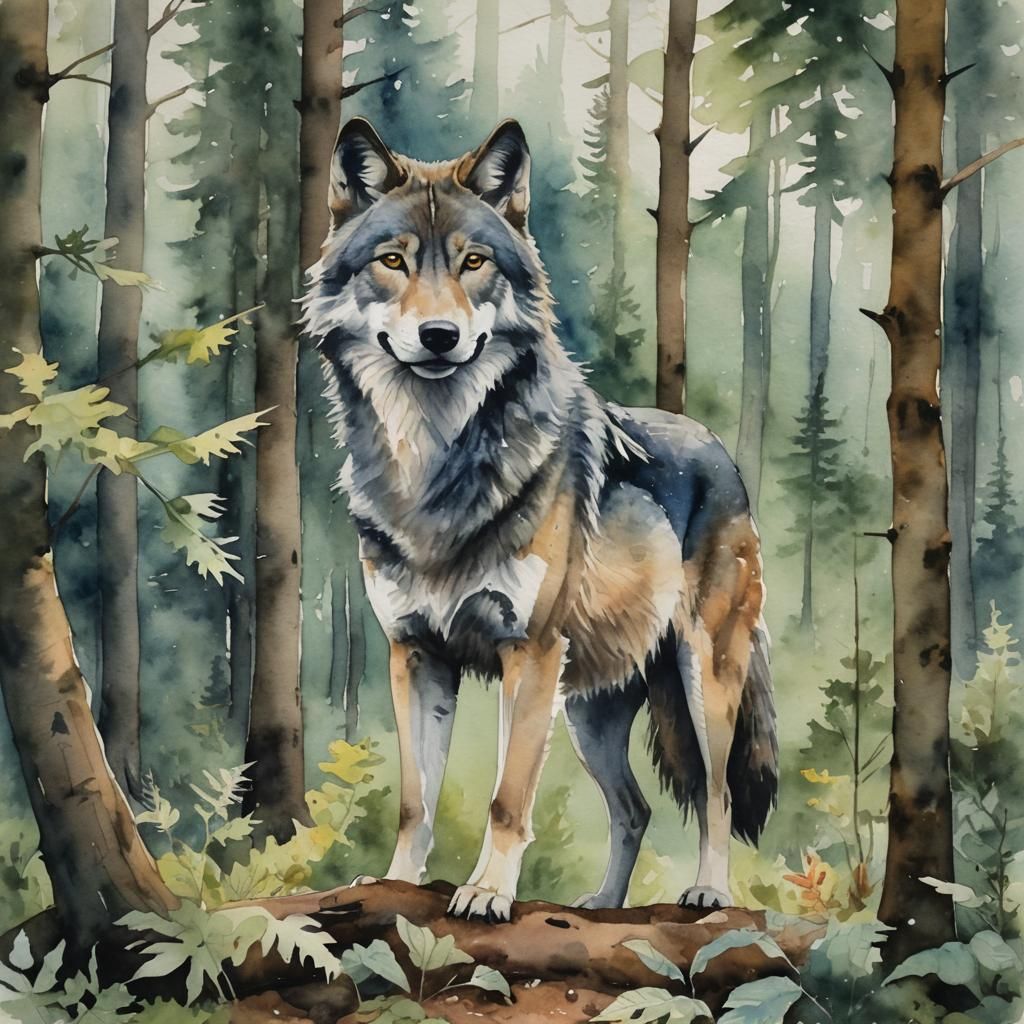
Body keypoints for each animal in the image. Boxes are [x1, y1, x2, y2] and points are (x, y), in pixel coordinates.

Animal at [302, 117, 778, 922]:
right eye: (393, 261)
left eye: (475, 263)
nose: (439, 335)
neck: (435, 464)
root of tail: (719, 448)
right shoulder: (414, 654)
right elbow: (415, 801)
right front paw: (398, 882)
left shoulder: (527, 653)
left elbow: (508, 797)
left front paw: (488, 893)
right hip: (589, 711)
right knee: (635, 809)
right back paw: (602, 906)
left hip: (700, 681)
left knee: (712, 795)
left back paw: (709, 890)